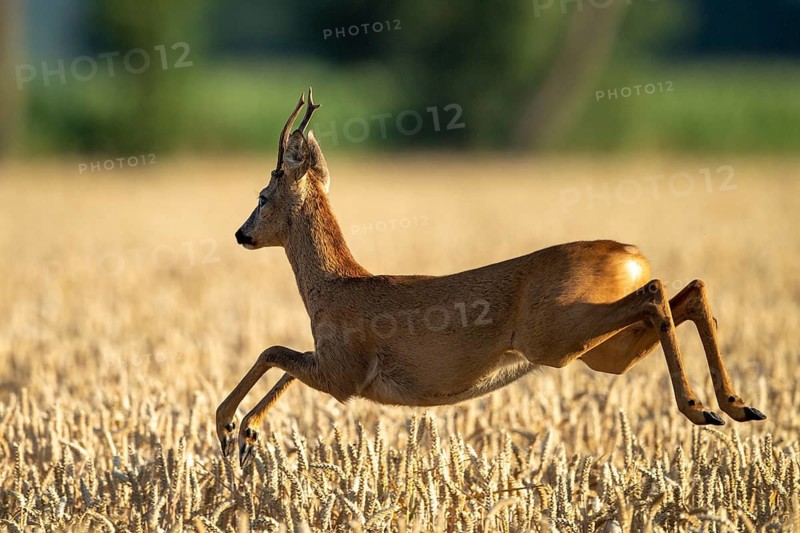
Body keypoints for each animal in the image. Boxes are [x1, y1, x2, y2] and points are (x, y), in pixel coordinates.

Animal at [216, 88, 766, 466]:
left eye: (263, 195)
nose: (242, 234)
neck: (335, 285)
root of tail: (632, 255)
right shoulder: (333, 368)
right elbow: (282, 363)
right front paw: (247, 435)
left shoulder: (343, 372)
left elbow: (272, 352)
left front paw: (228, 427)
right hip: (601, 351)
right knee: (688, 292)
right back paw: (737, 407)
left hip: (558, 336)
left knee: (657, 294)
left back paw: (701, 408)